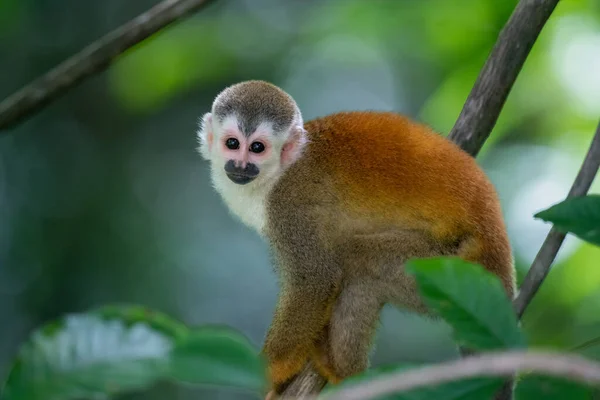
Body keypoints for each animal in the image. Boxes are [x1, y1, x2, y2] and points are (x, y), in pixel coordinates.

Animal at [197, 80, 516, 396]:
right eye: (233, 143)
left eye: (258, 148)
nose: (240, 165)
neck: (279, 172)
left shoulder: (289, 205)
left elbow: (314, 279)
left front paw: (268, 371)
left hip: (452, 263)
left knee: (359, 266)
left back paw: (345, 372)